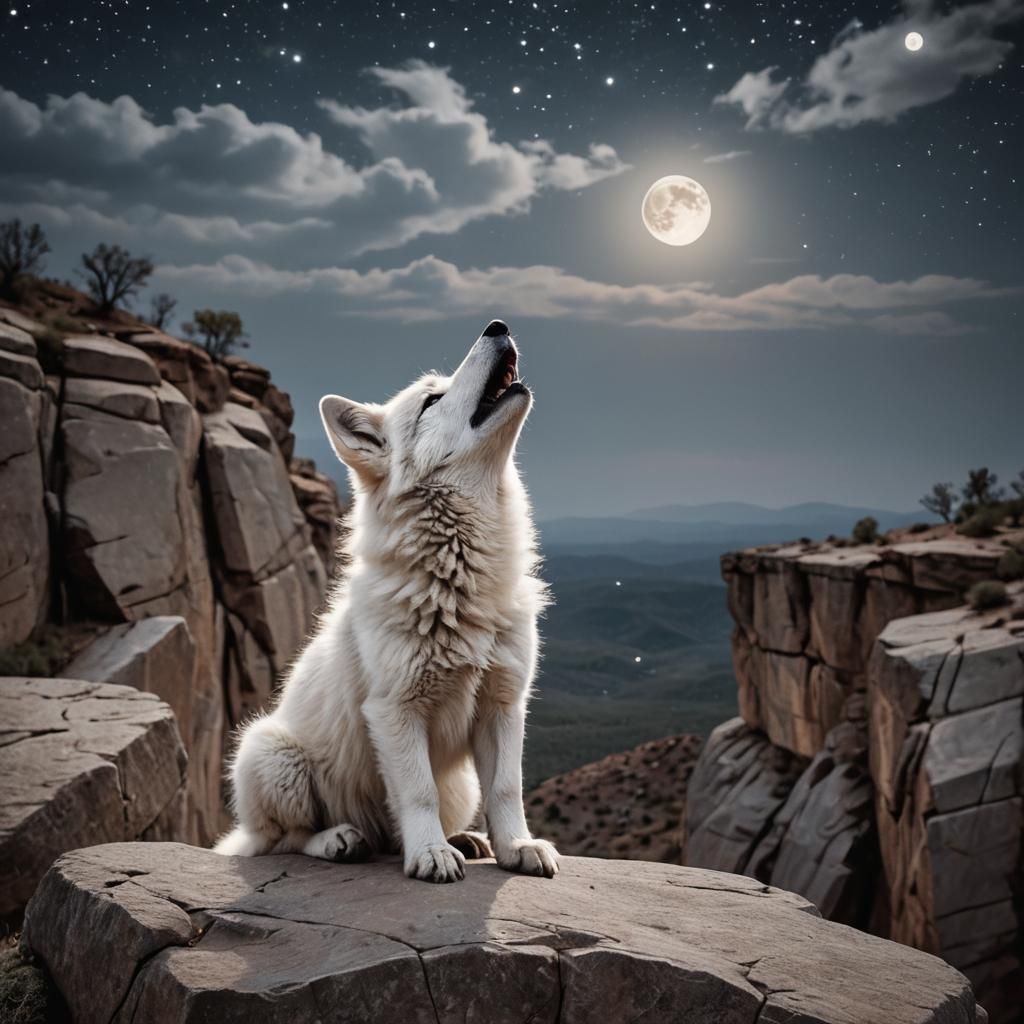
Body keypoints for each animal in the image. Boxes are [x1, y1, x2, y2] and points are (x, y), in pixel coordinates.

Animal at [215, 320, 559, 883]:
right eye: (431, 400)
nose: (498, 326)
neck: (457, 576)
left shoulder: (504, 706)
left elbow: (508, 789)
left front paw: (517, 847)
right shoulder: (395, 712)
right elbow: (417, 794)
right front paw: (431, 855)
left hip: (460, 783)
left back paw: (464, 838)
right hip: (271, 756)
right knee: (284, 841)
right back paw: (341, 839)